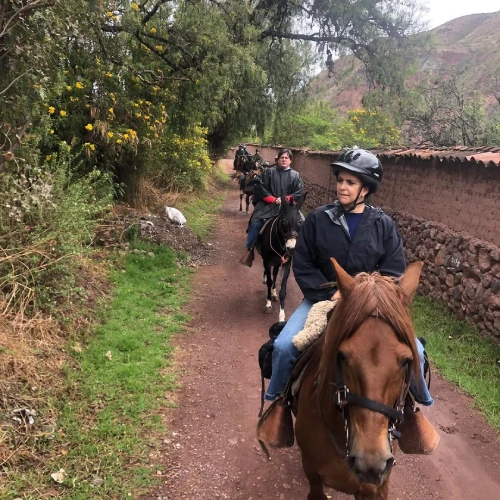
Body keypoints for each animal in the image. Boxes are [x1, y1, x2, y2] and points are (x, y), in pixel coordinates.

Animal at [256, 193, 306, 322]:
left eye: (300, 221)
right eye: (283, 220)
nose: (291, 248)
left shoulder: (286, 264)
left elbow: (282, 290)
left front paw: (282, 316)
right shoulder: (267, 262)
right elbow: (269, 282)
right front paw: (268, 304)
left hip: (278, 262)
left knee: (275, 274)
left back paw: (274, 293)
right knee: (270, 276)